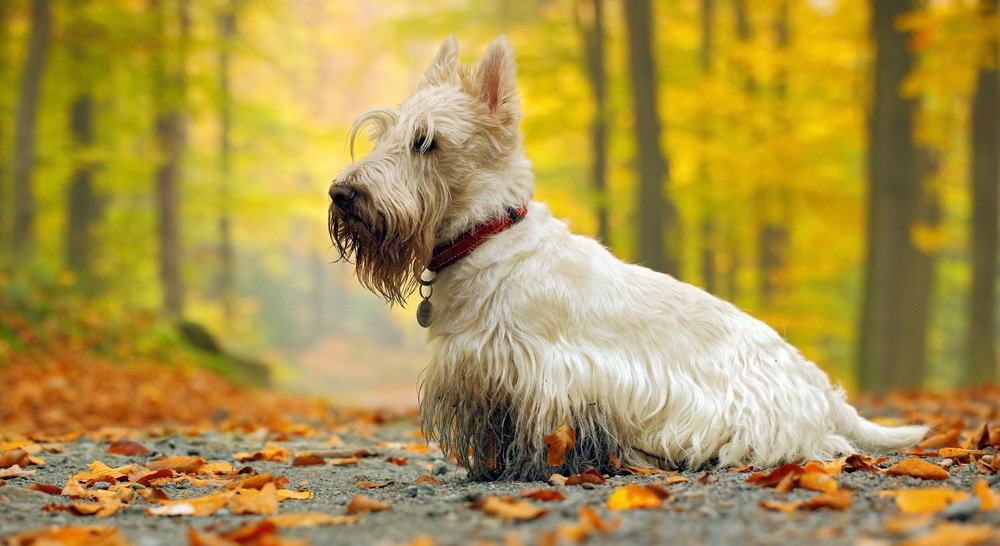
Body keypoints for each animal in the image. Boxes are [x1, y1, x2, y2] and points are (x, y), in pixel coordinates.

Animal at [330, 36, 928, 476]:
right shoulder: (479, 372)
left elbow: (540, 432)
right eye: (385, 134)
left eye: (426, 142)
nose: (342, 193)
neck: (486, 236)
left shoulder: (545, 373)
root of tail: (822, 390)